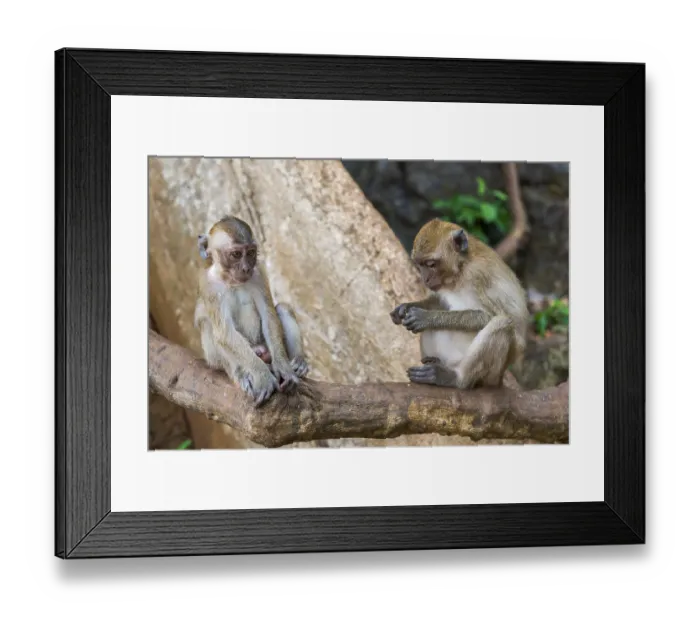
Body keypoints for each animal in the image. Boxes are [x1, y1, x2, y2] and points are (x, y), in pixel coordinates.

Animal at [194, 216, 309, 407]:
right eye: (236, 254)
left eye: (250, 252)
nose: (246, 268)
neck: (231, 281)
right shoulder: (209, 286)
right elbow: (224, 333)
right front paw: (262, 376)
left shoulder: (258, 274)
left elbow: (269, 316)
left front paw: (284, 368)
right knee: (208, 324)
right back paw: (241, 373)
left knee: (282, 308)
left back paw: (298, 362)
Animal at [390, 218, 528, 390]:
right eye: (420, 264)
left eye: (431, 264)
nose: (425, 279)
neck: (461, 269)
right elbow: (440, 301)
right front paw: (405, 308)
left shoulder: (478, 274)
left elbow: (491, 316)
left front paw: (427, 317)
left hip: (491, 375)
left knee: (503, 324)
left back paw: (456, 379)